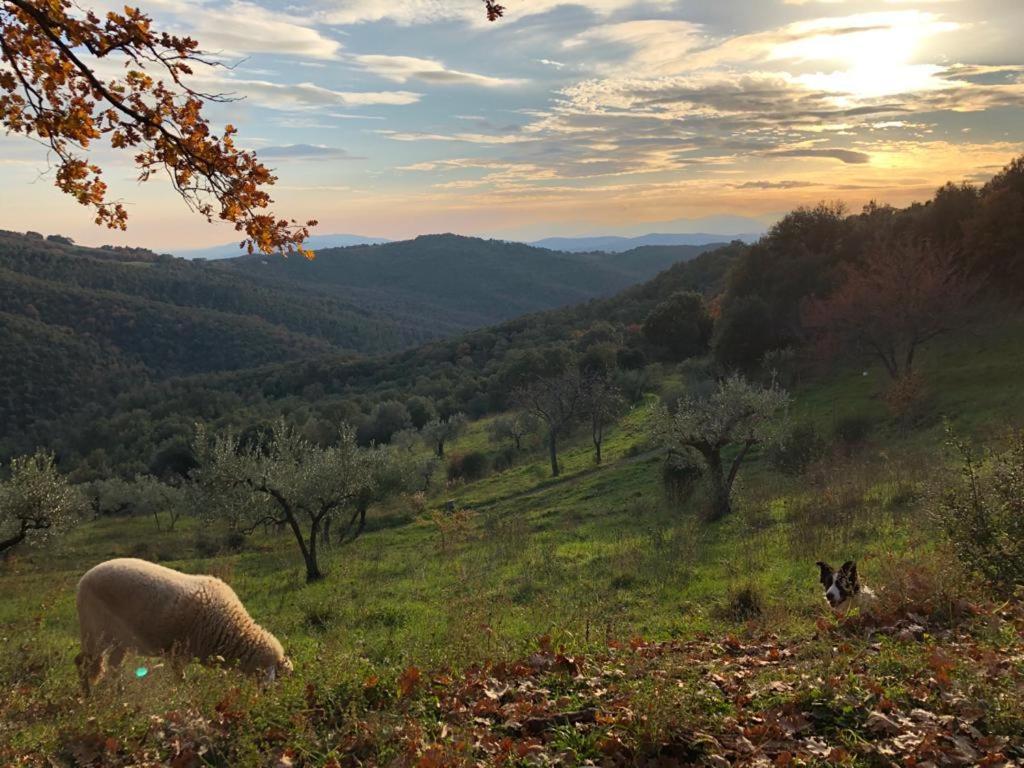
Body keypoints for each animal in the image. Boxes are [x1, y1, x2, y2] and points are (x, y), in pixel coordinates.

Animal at [74, 557, 292, 696]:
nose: (268, 695)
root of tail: (85, 577)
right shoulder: (179, 652)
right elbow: (180, 678)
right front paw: (183, 695)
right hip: (94, 630)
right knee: (82, 662)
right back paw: (87, 696)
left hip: (119, 638)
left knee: (113, 666)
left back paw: (119, 694)